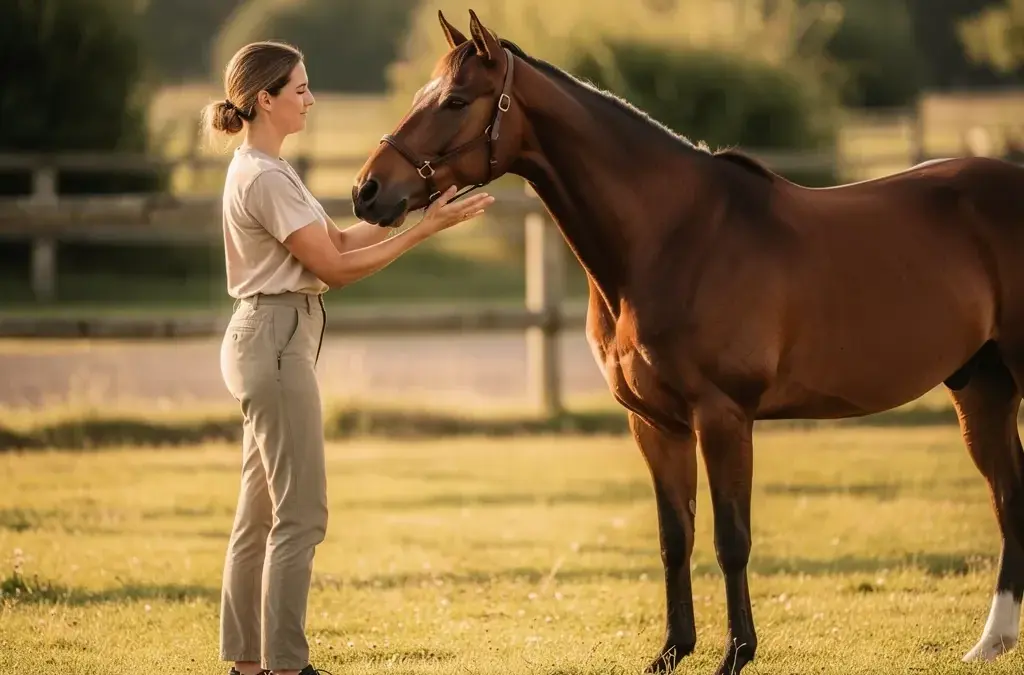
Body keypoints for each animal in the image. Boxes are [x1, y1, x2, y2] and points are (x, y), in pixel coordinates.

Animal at [351, 9, 1024, 675]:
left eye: (456, 101)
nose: (367, 191)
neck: (671, 237)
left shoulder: (723, 416)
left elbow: (731, 540)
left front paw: (736, 653)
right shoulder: (655, 423)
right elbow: (675, 538)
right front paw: (672, 650)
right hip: (980, 386)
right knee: (1008, 496)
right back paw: (991, 642)